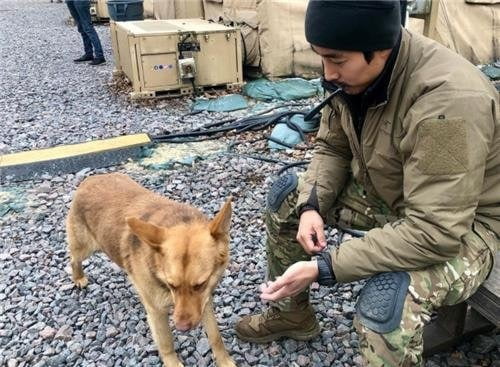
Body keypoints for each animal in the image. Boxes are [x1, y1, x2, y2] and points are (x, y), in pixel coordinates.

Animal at [66, 173, 236, 367]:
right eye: (172, 285)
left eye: (200, 284)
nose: (181, 327)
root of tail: (90, 179)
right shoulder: (157, 311)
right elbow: (166, 342)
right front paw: (172, 362)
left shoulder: (204, 301)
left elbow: (215, 336)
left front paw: (224, 360)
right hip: (84, 247)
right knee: (73, 259)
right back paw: (78, 277)